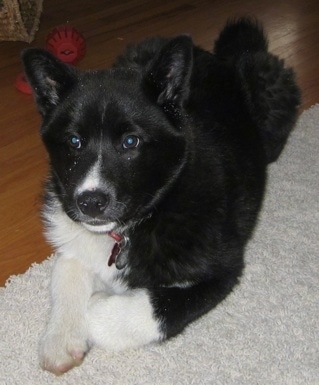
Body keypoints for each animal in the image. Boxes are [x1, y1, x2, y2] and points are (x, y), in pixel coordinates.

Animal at [21, 16, 300, 374]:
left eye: (131, 142)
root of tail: (221, 57)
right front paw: (61, 338)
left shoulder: (224, 269)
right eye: (73, 141)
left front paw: (97, 310)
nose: (91, 202)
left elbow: (158, 305)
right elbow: (65, 267)